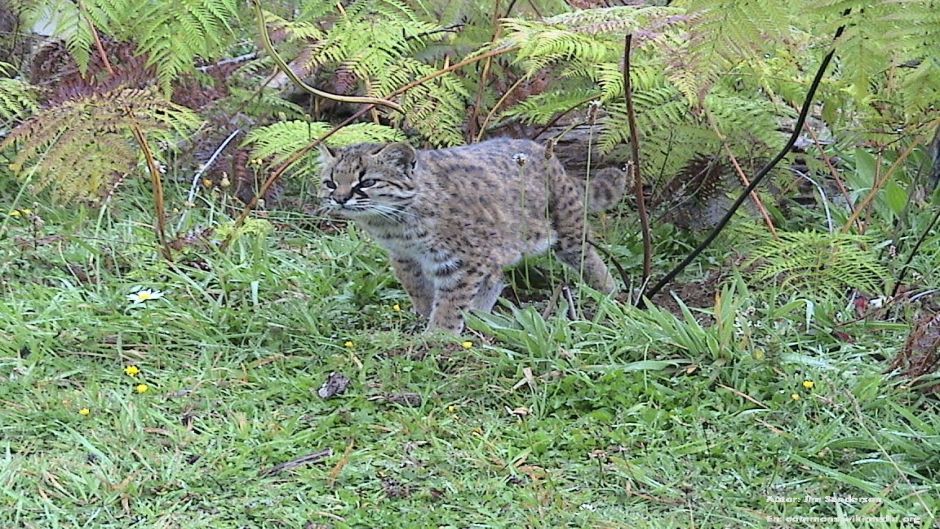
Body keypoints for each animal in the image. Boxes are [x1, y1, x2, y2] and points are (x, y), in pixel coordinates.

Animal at [320, 138, 628, 332]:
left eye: (367, 182)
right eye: (330, 183)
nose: (340, 199)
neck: (396, 224)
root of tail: (542, 149)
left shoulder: (463, 259)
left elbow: (450, 301)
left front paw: (438, 336)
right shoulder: (405, 257)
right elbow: (418, 289)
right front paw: (427, 317)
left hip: (567, 227)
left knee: (589, 258)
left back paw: (611, 293)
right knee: (496, 278)